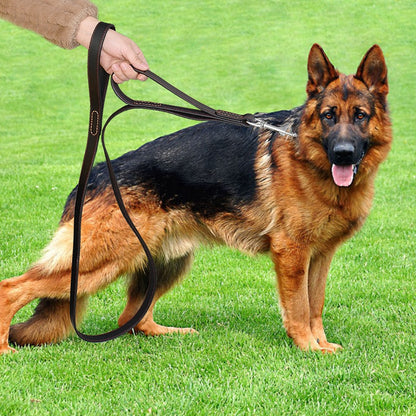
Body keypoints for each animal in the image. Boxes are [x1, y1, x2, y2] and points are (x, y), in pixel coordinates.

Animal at [0, 43, 390, 354]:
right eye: (328, 116)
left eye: (360, 116)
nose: (343, 154)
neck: (309, 160)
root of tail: (96, 173)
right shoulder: (291, 253)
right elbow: (298, 308)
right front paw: (309, 348)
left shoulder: (320, 257)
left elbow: (315, 305)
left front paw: (321, 343)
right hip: (102, 262)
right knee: (12, 287)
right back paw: (5, 349)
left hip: (165, 262)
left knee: (133, 319)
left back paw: (170, 333)